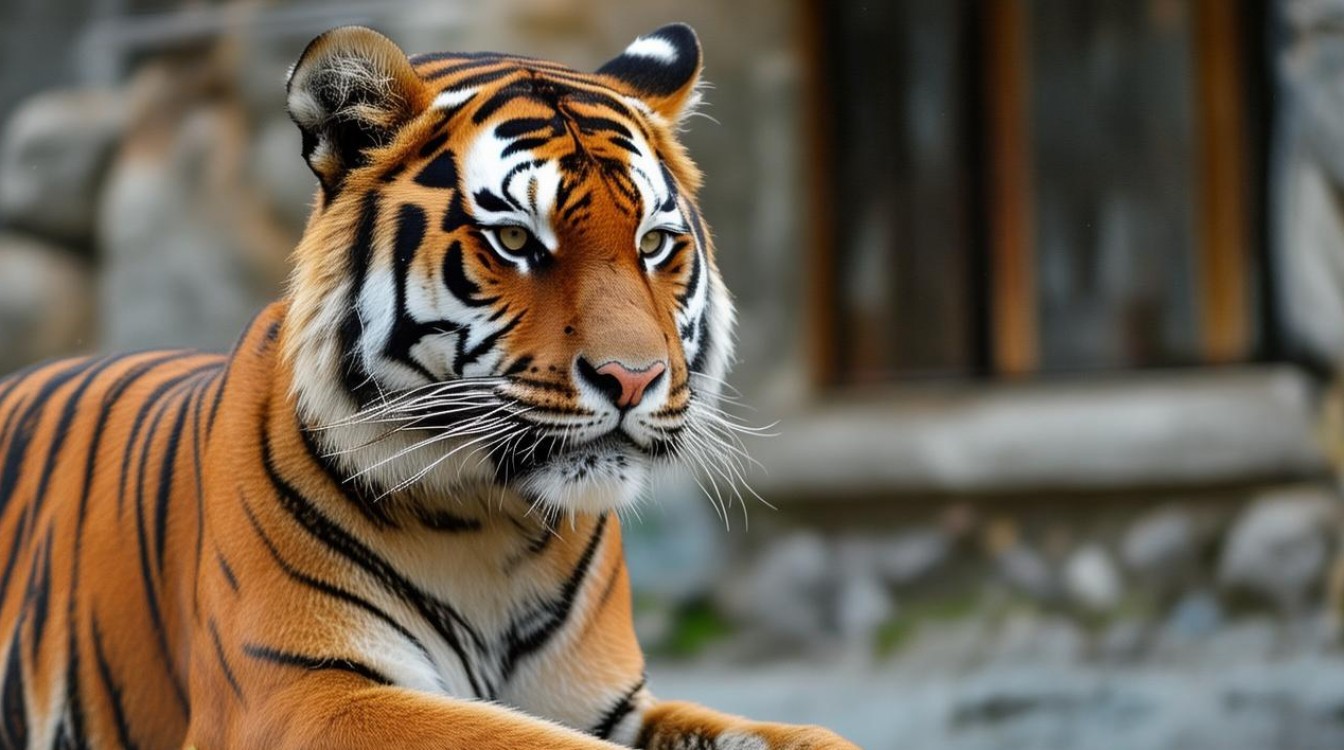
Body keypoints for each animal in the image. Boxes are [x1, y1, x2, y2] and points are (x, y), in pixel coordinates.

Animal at [0, 22, 860, 750]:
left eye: (653, 243)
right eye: (514, 239)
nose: (633, 378)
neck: (492, 527)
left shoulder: (610, 703)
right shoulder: (301, 693)